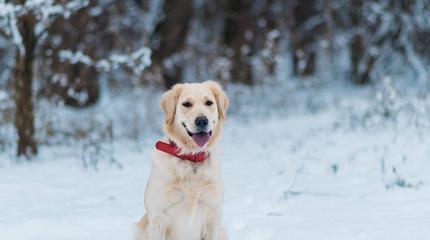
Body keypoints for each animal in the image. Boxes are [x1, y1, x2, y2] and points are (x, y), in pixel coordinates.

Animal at [135, 81, 228, 240]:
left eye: (209, 102)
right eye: (187, 104)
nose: (202, 120)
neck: (191, 158)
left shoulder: (212, 216)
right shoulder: (158, 218)